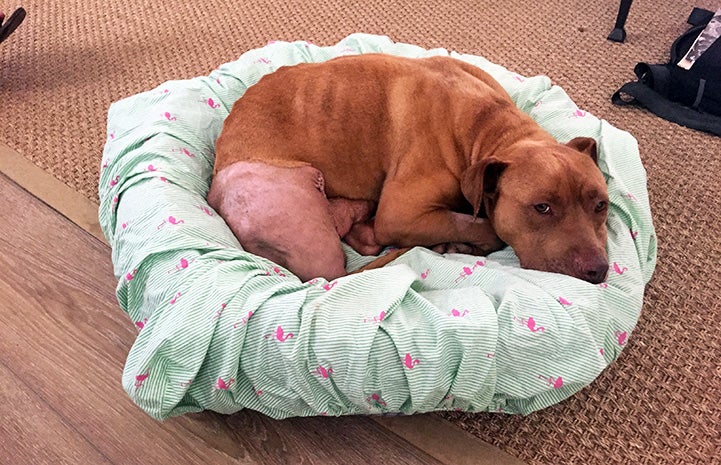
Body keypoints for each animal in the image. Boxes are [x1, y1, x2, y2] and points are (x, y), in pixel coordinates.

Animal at [208, 53, 608, 280]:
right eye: (542, 208)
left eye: (601, 205)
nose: (599, 270)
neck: (488, 128)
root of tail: (213, 184)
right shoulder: (401, 215)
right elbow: (479, 226)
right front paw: (466, 239)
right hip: (299, 219)